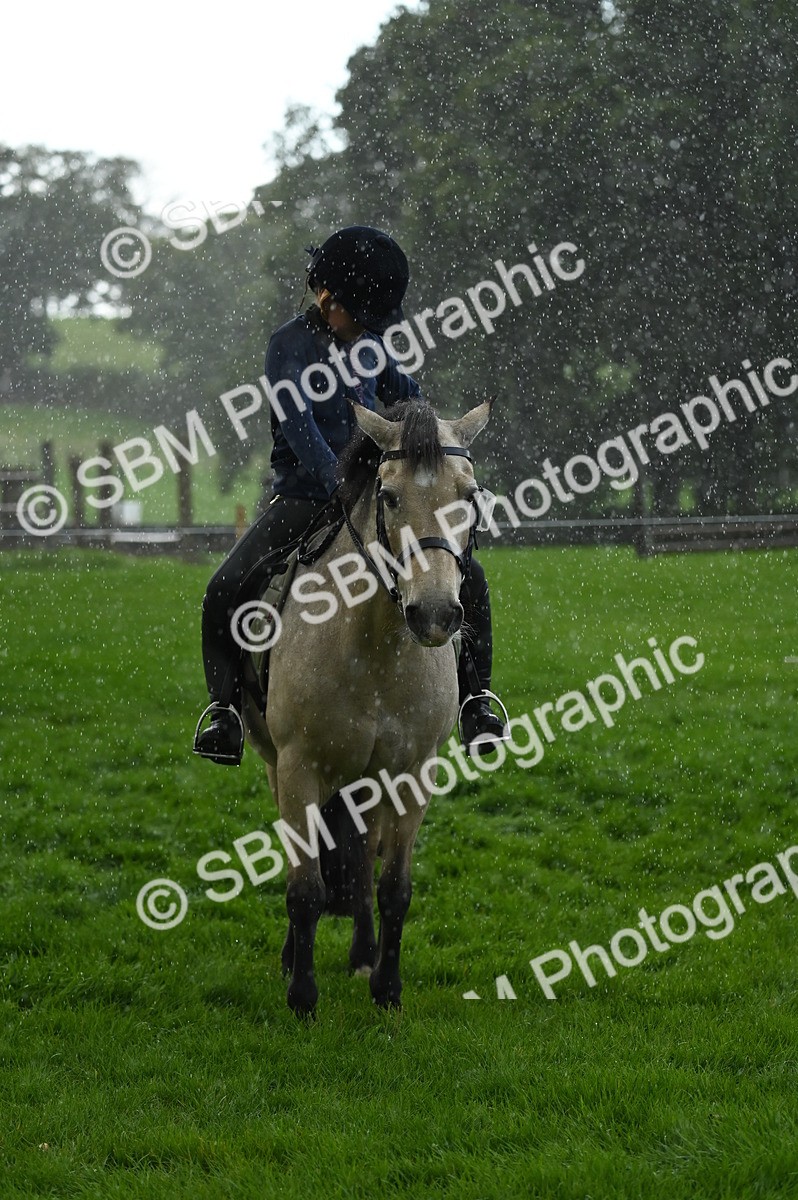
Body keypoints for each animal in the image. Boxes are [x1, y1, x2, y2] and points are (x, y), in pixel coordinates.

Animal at [241, 397, 493, 1016]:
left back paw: (363, 954)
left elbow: (393, 886)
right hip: (276, 765)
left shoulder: (411, 773)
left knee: (361, 858)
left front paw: (387, 987)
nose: (435, 614)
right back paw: (296, 958)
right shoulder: (300, 768)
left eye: (467, 495)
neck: (375, 646)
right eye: (389, 495)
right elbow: (305, 889)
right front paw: (302, 996)